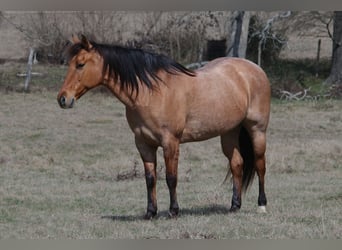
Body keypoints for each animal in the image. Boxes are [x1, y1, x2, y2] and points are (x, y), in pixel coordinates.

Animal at [57, 34, 272, 219]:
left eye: (80, 64)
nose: (63, 99)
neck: (151, 92)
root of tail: (254, 69)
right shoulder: (143, 143)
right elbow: (150, 178)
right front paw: (150, 212)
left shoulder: (170, 142)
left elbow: (170, 177)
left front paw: (173, 211)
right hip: (229, 132)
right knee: (237, 164)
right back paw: (234, 206)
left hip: (257, 130)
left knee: (260, 165)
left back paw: (262, 205)